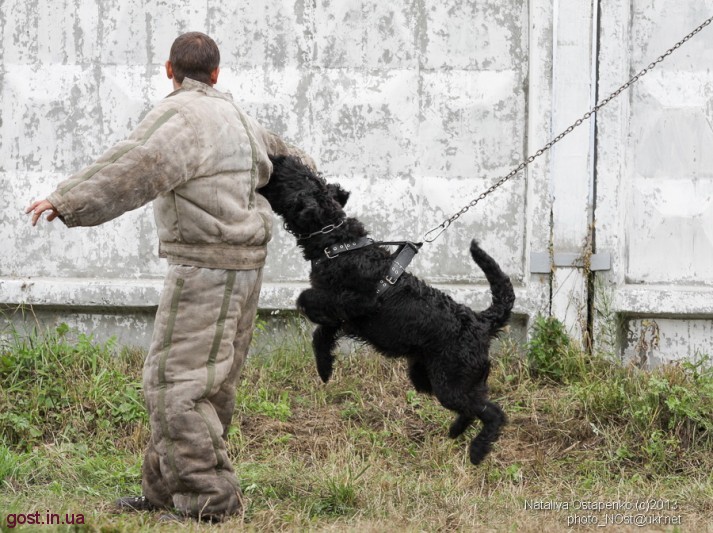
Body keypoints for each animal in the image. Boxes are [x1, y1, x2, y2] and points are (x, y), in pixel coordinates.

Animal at [258, 155, 516, 466]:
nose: (278, 158)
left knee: (493, 413)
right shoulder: (342, 315)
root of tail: (481, 321)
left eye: (293, 175)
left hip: (451, 382)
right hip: (430, 378)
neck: (339, 243)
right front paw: (325, 369)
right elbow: (321, 335)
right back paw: (456, 431)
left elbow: (306, 298)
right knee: (475, 406)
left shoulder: (354, 301)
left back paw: (478, 451)